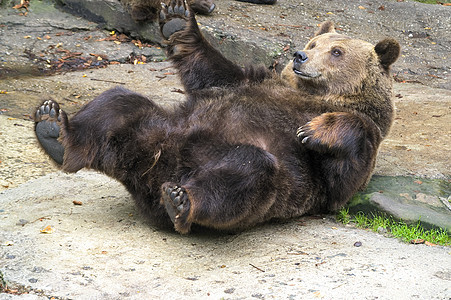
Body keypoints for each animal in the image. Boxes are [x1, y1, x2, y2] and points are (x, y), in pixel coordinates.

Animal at [33, 0, 400, 233]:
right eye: (313, 42)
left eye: (336, 51)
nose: (299, 55)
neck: (316, 94)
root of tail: (155, 170)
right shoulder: (252, 82)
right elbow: (211, 70)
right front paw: (177, 17)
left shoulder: (340, 158)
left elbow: (344, 174)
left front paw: (315, 131)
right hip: (155, 128)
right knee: (118, 104)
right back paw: (55, 129)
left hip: (271, 179)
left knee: (248, 172)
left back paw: (182, 201)